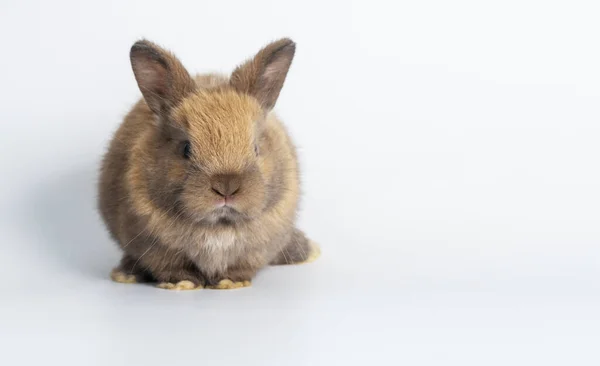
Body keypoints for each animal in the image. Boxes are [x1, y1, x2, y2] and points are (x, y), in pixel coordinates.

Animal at [97, 38, 318, 290]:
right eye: (185, 148)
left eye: (255, 148)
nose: (226, 187)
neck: (218, 227)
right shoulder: (154, 247)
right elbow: (171, 267)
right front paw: (183, 283)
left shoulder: (257, 249)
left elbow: (241, 267)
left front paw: (229, 282)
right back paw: (126, 274)